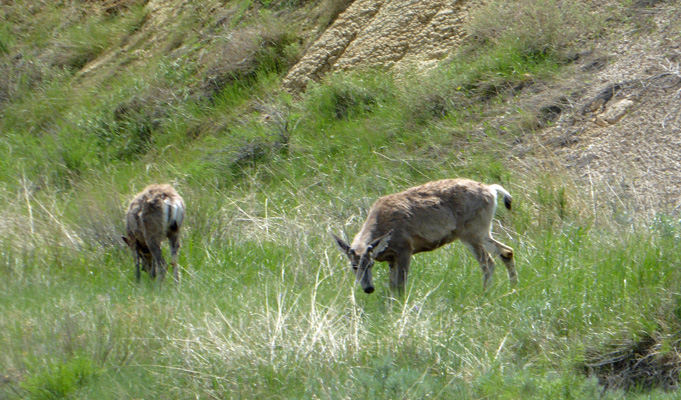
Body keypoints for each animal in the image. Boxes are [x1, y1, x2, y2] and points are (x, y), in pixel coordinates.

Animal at [334, 178, 516, 294]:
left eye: (370, 264)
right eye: (354, 266)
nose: (368, 289)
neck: (382, 223)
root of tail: (491, 189)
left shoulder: (405, 248)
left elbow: (400, 285)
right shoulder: (391, 258)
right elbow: (392, 286)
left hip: (471, 232)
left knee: (488, 263)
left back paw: (484, 295)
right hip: (482, 231)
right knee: (507, 251)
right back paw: (513, 290)